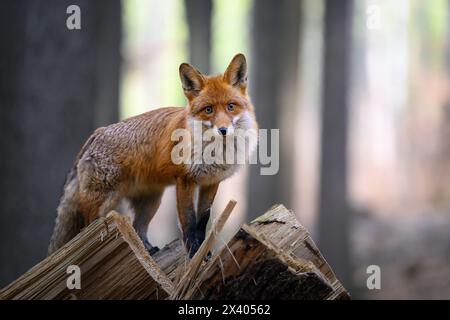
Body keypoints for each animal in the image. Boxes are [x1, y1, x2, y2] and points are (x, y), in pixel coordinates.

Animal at [47, 52, 258, 258]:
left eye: (231, 106)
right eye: (209, 109)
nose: (223, 130)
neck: (217, 152)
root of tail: (95, 134)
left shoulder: (211, 182)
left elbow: (202, 221)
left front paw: (203, 252)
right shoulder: (185, 180)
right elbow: (189, 222)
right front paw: (193, 252)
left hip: (151, 203)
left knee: (137, 228)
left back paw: (148, 251)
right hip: (102, 203)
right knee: (88, 229)